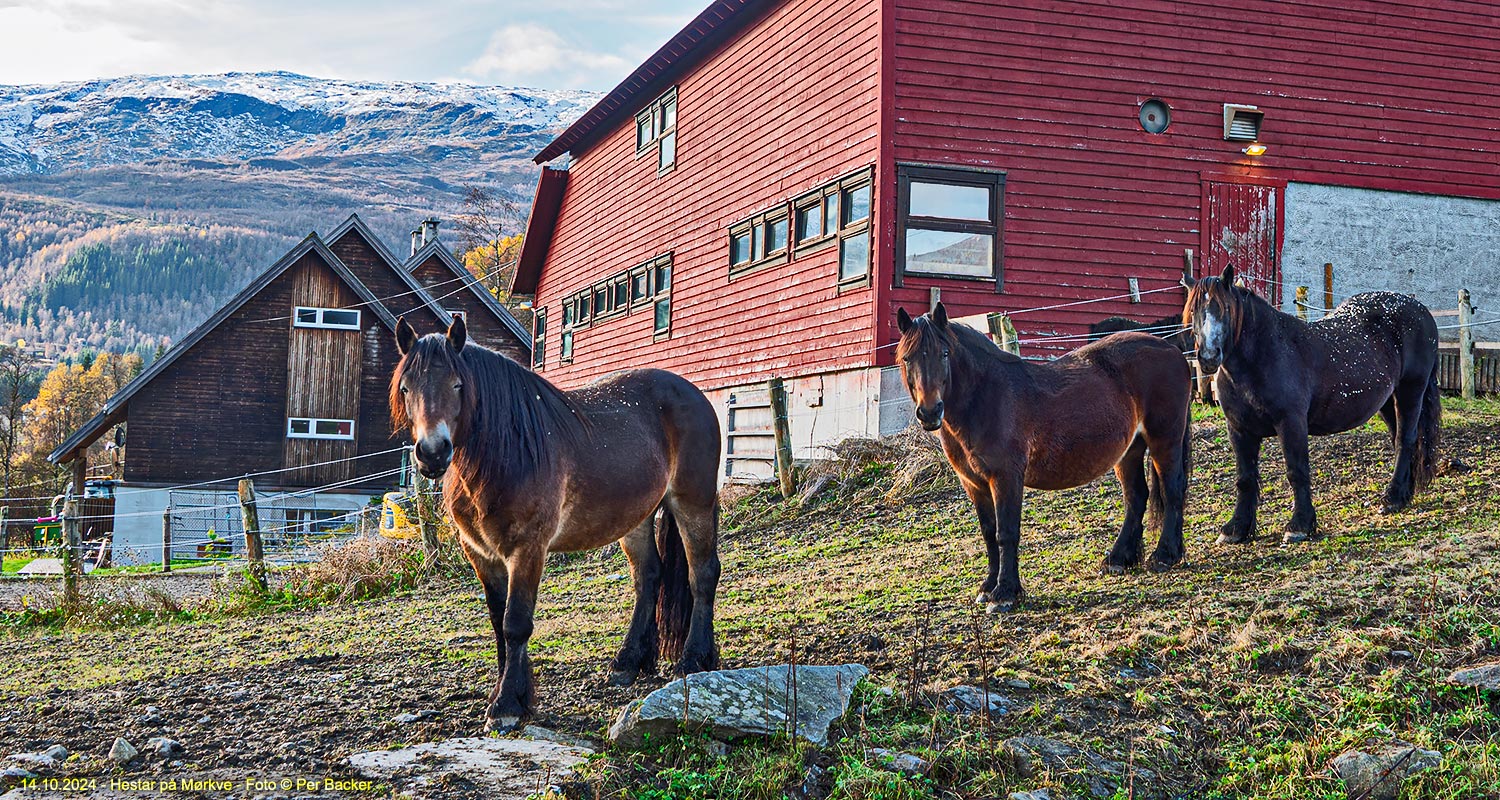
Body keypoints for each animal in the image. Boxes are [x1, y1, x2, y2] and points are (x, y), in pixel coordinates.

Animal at [390, 313, 723, 729]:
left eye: (457, 384)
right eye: (406, 388)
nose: (433, 453)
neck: (506, 452)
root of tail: (695, 395)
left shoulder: (528, 549)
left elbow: (516, 623)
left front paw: (506, 706)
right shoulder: (480, 553)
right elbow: (498, 623)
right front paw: (511, 695)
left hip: (692, 503)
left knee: (703, 574)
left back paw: (694, 661)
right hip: (637, 518)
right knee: (648, 577)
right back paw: (628, 662)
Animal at [894, 301, 1188, 612]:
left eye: (945, 353)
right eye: (907, 358)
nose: (930, 412)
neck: (985, 398)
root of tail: (1171, 349)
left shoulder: (1006, 478)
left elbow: (1005, 532)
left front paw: (1005, 593)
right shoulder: (974, 483)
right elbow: (988, 532)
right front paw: (988, 587)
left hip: (1164, 440)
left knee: (1172, 489)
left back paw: (1165, 555)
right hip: (1130, 450)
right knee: (1136, 497)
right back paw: (1118, 558)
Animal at [1182, 262, 1440, 543]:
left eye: (1225, 308)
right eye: (1194, 311)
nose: (1208, 357)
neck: (1264, 354)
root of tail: (1421, 310)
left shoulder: (1291, 423)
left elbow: (1296, 471)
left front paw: (1300, 525)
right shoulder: (1239, 429)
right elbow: (1245, 478)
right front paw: (1236, 528)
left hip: (1410, 391)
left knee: (1405, 440)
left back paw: (1392, 498)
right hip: (1387, 401)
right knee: (1400, 440)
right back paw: (1403, 495)